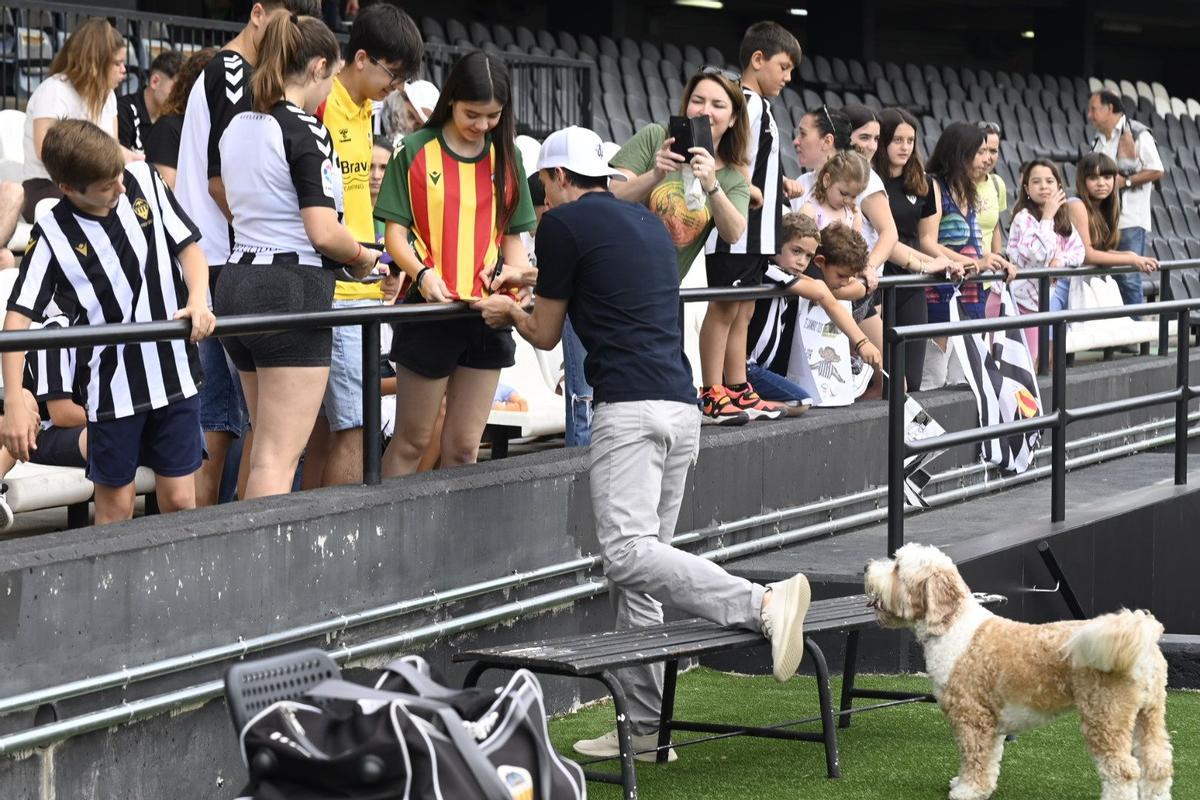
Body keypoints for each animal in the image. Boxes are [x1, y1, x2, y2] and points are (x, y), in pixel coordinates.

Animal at [864, 544, 1171, 800]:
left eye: (897, 567)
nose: (866, 567)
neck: (952, 627)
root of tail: (1140, 639)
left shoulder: (972, 716)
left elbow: (973, 756)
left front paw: (967, 790)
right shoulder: (991, 722)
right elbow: (988, 759)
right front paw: (971, 785)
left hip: (1105, 716)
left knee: (1123, 770)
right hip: (1150, 713)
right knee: (1157, 764)